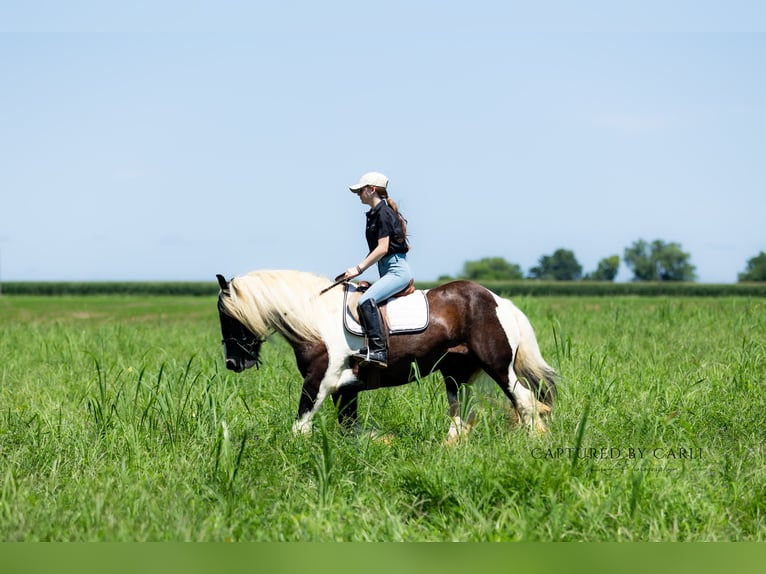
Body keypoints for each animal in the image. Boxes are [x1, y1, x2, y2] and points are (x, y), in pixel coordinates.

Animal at [216, 270, 557, 442]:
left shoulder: (320, 382)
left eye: (227, 315)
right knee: (461, 417)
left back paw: (531, 444)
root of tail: (497, 301)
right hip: (456, 373)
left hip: (498, 367)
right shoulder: (345, 389)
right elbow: (348, 430)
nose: (233, 363)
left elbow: (300, 427)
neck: (316, 319)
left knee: (526, 403)